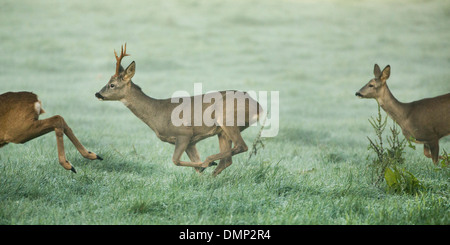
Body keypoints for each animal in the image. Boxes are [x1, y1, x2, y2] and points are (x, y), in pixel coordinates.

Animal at [96, 43, 264, 175]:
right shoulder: (191, 142)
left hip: (228, 120)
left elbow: (175, 160)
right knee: (227, 160)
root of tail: (258, 107)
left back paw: (209, 161)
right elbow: (195, 168)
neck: (157, 113)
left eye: (112, 85)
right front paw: (202, 174)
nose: (97, 93)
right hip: (222, 131)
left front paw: (206, 164)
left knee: (241, 146)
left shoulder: (184, 133)